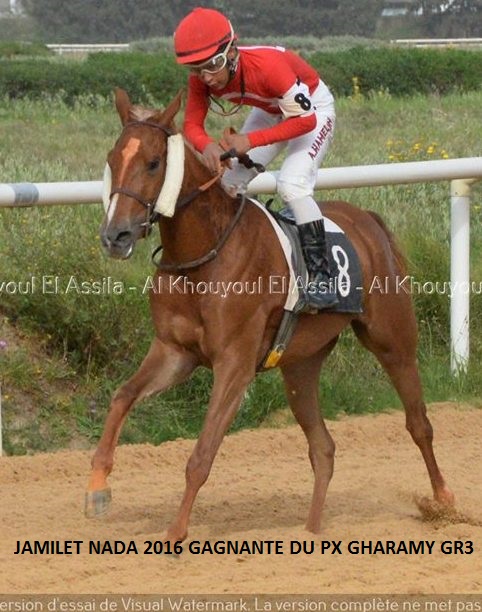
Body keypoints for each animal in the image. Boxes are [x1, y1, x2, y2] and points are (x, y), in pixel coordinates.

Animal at [86, 88, 454, 544]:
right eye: (112, 158)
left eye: (153, 162)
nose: (115, 236)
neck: (203, 254)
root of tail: (368, 219)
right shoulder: (175, 352)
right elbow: (121, 397)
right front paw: (98, 489)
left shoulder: (234, 363)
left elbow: (201, 455)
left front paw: (175, 533)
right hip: (301, 364)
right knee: (323, 448)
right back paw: (311, 531)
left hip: (393, 341)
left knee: (419, 423)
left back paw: (443, 502)